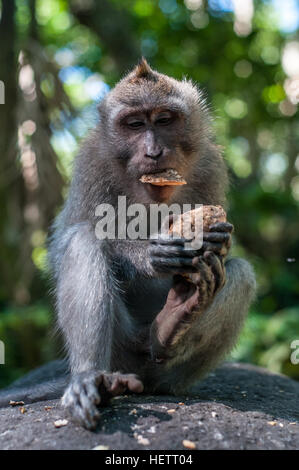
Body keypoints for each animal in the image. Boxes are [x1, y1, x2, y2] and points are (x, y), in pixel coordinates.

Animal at [0, 59, 258, 430]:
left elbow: (225, 253)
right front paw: (149, 255)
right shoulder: (91, 161)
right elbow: (64, 241)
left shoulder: (211, 163)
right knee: (82, 242)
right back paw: (91, 378)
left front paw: (217, 237)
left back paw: (169, 326)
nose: (154, 151)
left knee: (240, 272)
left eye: (164, 120)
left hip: (168, 374)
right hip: (120, 350)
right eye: (134, 124)